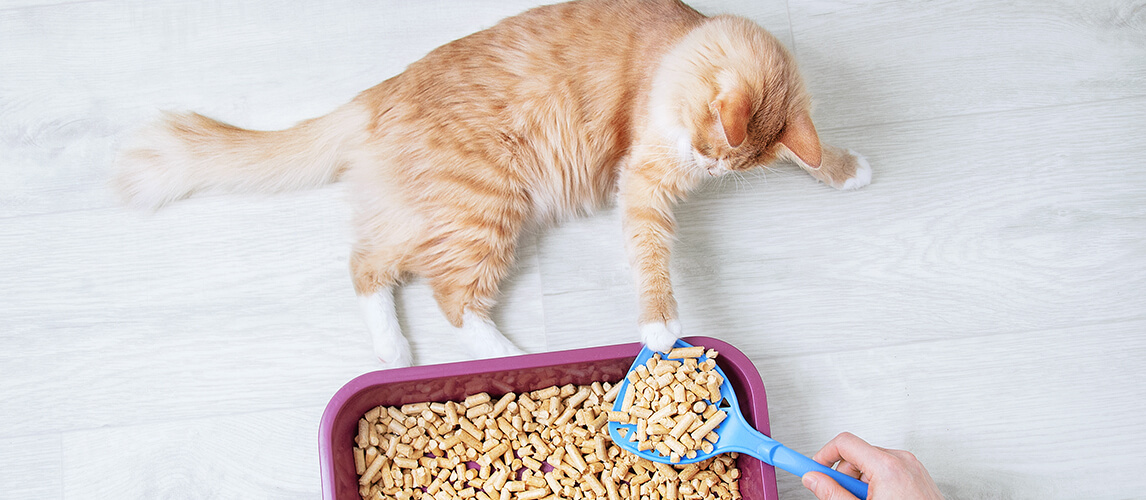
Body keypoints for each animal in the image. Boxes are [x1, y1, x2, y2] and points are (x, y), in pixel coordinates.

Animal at [114, 0, 866, 366]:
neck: (682, 46)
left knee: (367, 266)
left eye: (720, 161)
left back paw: (394, 352)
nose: (703, 166)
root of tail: (379, 93)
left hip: (430, 214)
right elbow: (653, 257)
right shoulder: (644, 181)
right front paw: (660, 328)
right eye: (707, 143)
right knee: (451, 301)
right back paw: (510, 356)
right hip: (486, 208)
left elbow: (811, 153)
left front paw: (850, 168)